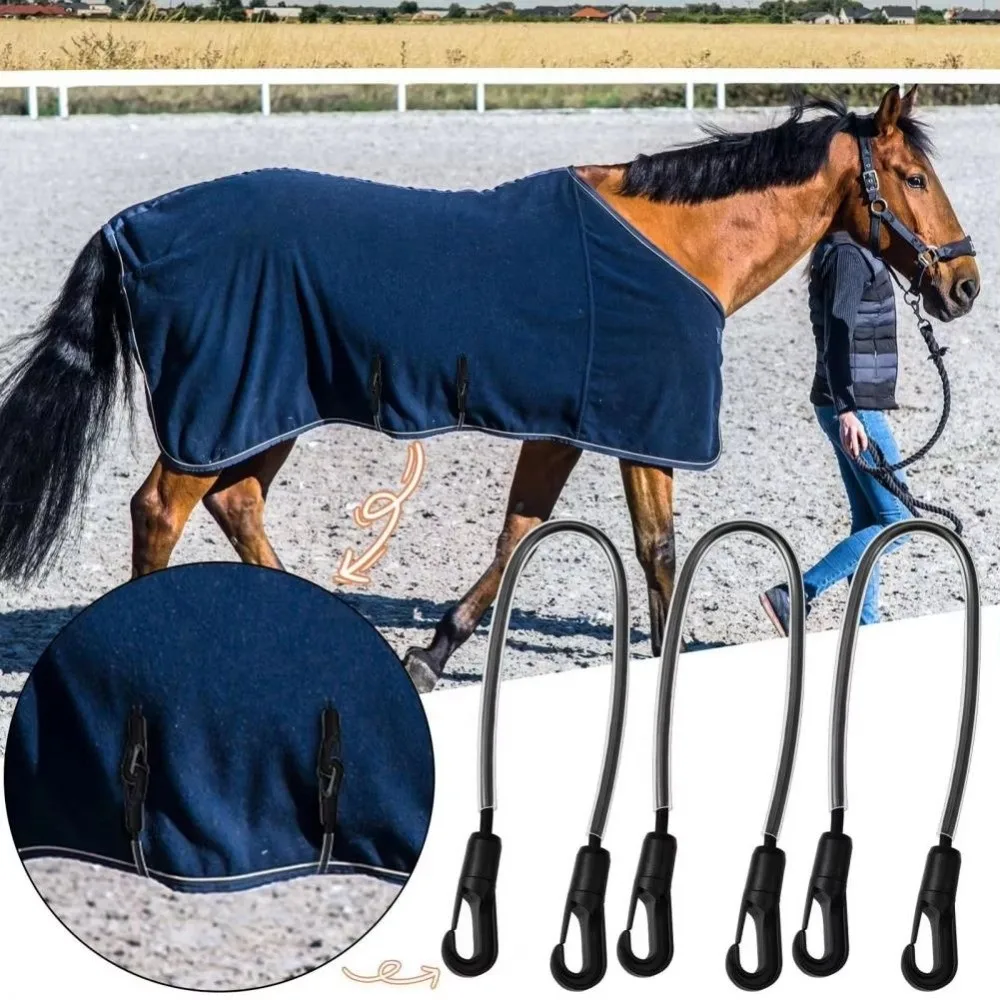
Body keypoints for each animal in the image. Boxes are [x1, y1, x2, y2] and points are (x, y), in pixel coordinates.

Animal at [0, 87, 980, 696]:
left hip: (263, 413)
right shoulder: (642, 430)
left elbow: (519, 536)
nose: (963, 286)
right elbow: (658, 550)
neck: (676, 246)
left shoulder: (565, 429)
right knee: (161, 510)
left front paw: (431, 655)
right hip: (225, 406)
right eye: (915, 178)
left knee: (235, 504)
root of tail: (134, 224)